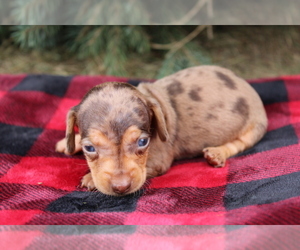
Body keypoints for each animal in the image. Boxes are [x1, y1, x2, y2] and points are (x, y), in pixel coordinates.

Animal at [55, 66, 268, 195]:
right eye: (89, 148)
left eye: (143, 142)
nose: (121, 187)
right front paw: (70, 141)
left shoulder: (158, 160)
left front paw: (90, 178)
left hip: (254, 128)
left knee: (239, 144)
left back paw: (217, 154)